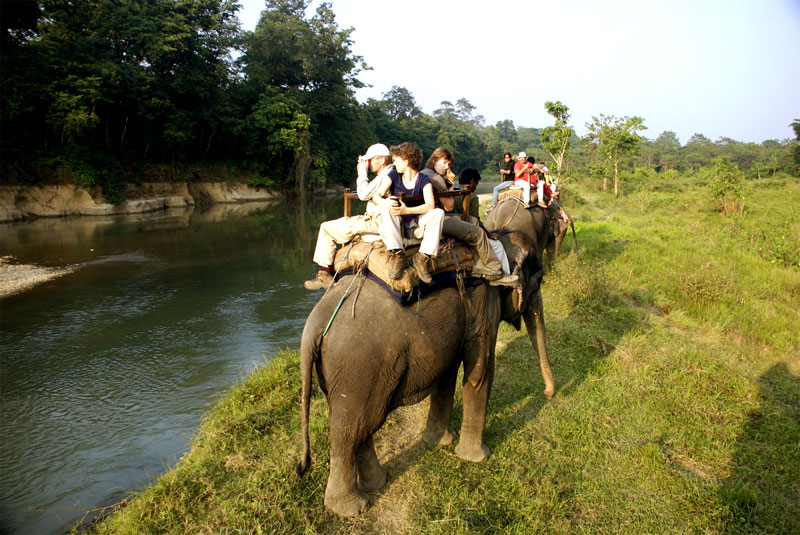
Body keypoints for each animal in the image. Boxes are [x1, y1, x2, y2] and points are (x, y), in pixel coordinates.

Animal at [296, 232, 552, 516]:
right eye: (539, 278)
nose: (548, 394)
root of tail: (315, 322)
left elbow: (447, 375)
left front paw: (440, 441)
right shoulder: (484, 307)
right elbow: (480, 371)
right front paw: (478, 458)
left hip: (342, 373)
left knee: (360, 425)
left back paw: (377, 483)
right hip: (358, 368)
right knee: (350, 429)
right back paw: (353, 508)